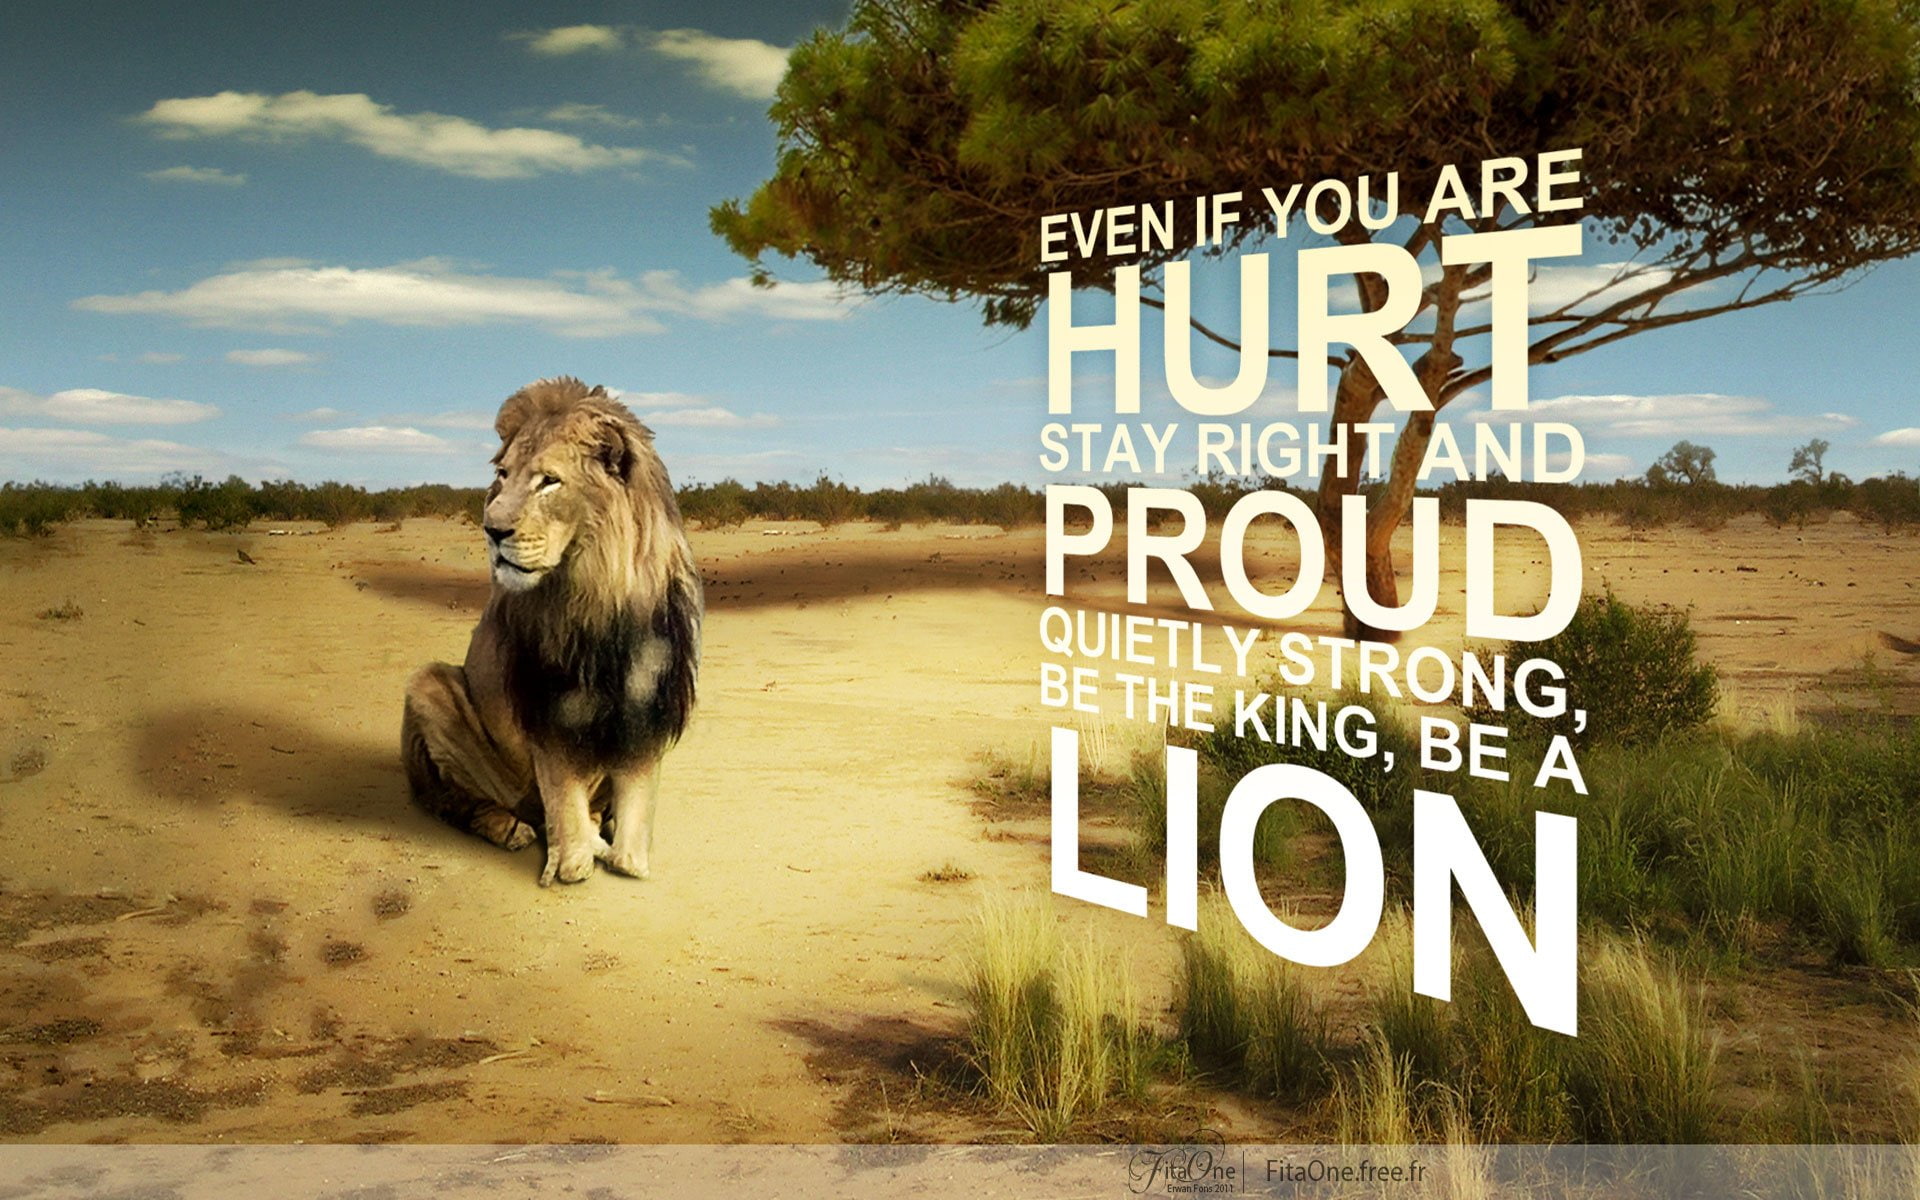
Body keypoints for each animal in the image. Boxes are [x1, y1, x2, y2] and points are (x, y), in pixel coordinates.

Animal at [400, 377, 702, 885]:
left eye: (548, 481)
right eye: (503, 476)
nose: (491, 530)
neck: (602, 596)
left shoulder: (647, 705)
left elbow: (635, 822)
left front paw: (626, 855)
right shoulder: (549, 710)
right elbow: (564, 804)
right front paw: (573, 862)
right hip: (428, 683)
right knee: (455, 802)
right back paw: (511, 828)